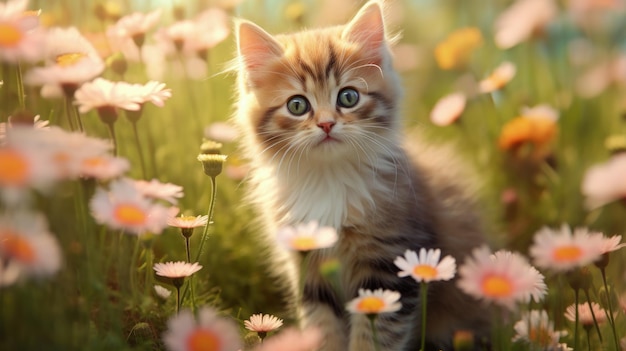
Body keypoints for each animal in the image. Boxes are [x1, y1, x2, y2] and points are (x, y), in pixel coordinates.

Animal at [232, 1, 490, 350]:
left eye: (348, 97)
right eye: (297, 105)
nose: (326, 124)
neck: (328, 180)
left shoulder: (390, 264)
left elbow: (375, 335)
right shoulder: (308, 270)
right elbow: (322, 328)